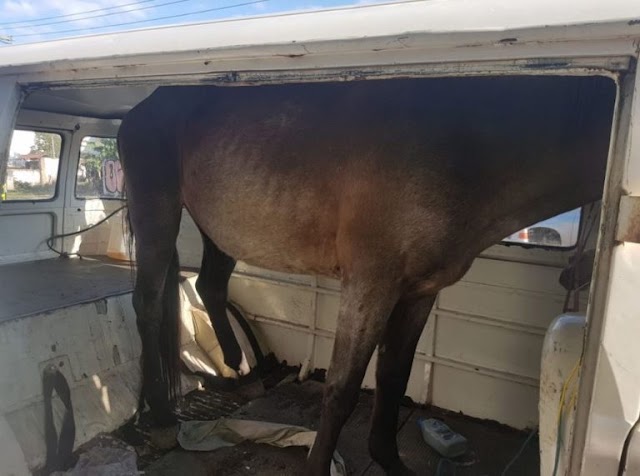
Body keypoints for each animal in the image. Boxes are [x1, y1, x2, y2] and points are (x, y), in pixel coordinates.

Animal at [119, 76, 616, 474]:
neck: (464, 145)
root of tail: (139, 110)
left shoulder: (419, 293)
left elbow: (394, 377)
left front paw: (390, 460)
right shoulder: (371, 284)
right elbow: (342, 388)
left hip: (219, 230)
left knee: (209, 287)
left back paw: (239, 368)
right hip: (157, 210)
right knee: (148, 304)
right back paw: (161, 416)